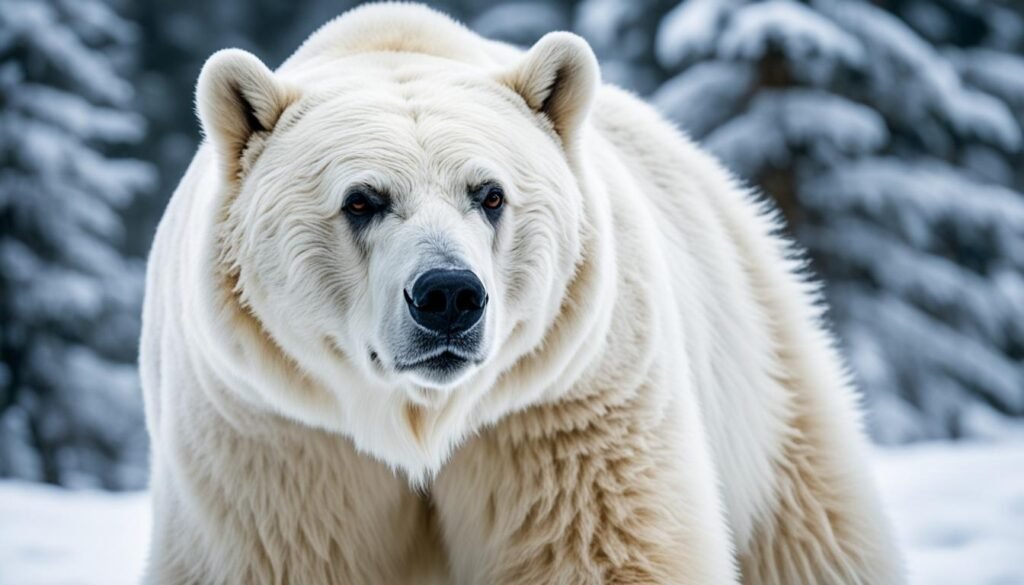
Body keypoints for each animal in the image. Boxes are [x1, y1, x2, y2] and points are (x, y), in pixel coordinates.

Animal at [142, 5, 905, 585]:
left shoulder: (563, 409)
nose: (448, 296)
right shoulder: (276, 438)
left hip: (763, 379)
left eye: (489, 193)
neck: (421, 418)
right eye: (361, 200)